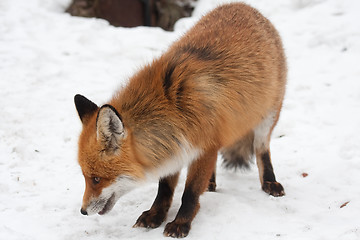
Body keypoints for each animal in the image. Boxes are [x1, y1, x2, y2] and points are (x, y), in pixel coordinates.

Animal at [74, 2, 286, 238]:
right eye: (86, 177)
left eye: (96, 179)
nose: (82, 211)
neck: (172, 109)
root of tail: (243, 6)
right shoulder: (172, 147)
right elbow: (165, 188)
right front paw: (155, 215)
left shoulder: (204, 148)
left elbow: (190, 193)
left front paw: (181, 223)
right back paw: (210, 183)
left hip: (267, 118)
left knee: (261, 150)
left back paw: (270, 182)